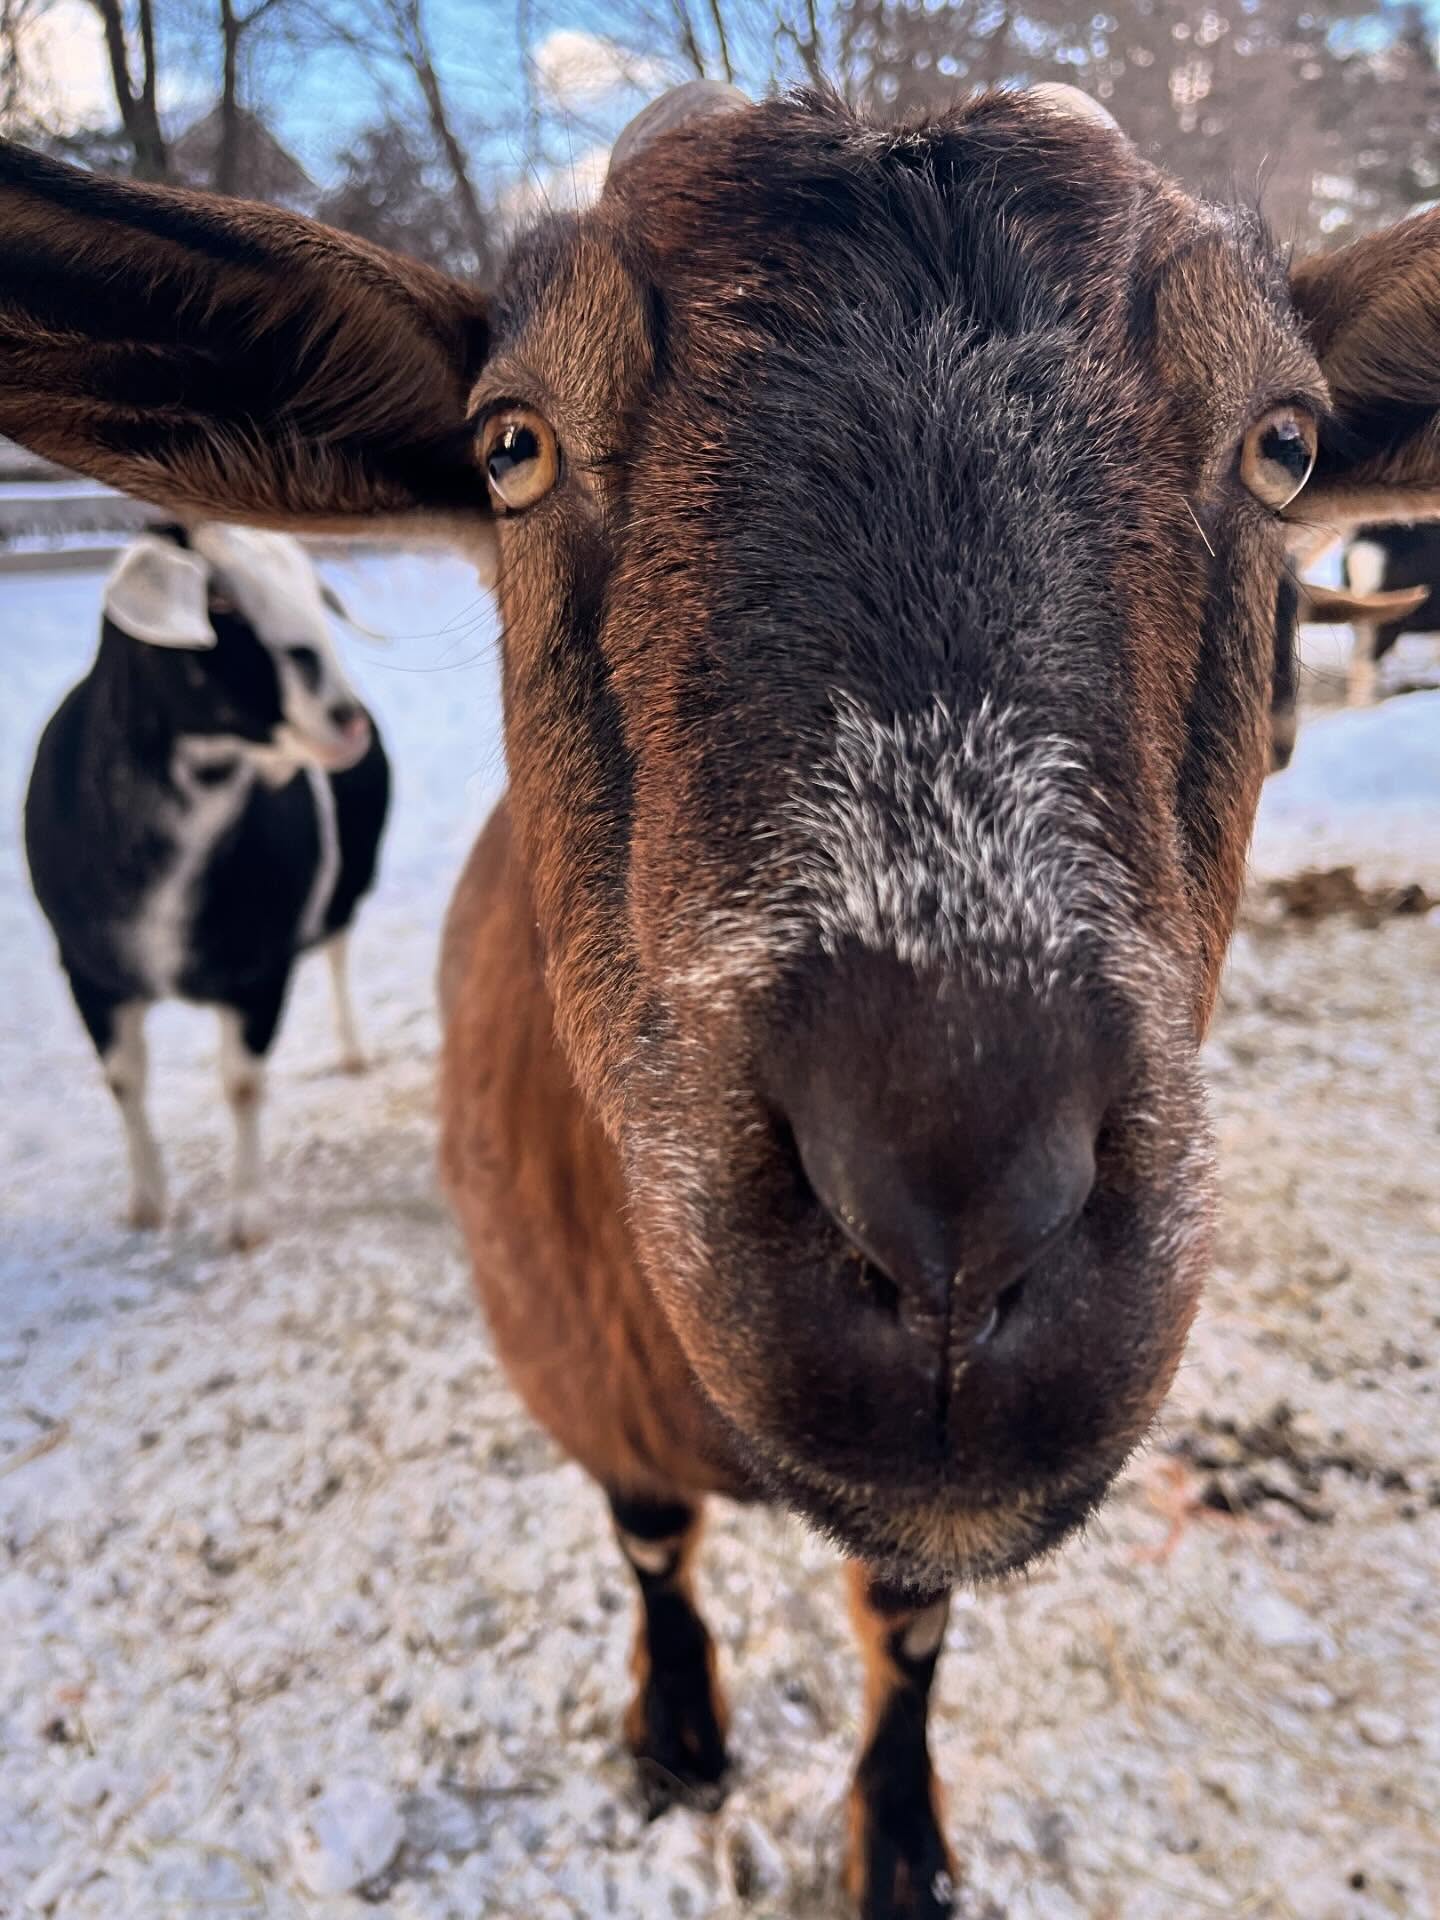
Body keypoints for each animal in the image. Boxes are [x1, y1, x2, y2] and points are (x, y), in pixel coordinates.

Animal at [23, 523, 389, 1248]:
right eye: (219, 601)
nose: (346, 722)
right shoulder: (86, 968)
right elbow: (123, 1081)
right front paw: (146, 1205)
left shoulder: (260, 971)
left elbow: (242, 1086)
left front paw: (247, 1220)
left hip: (347, 882)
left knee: (337, 949)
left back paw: (354, 1050)